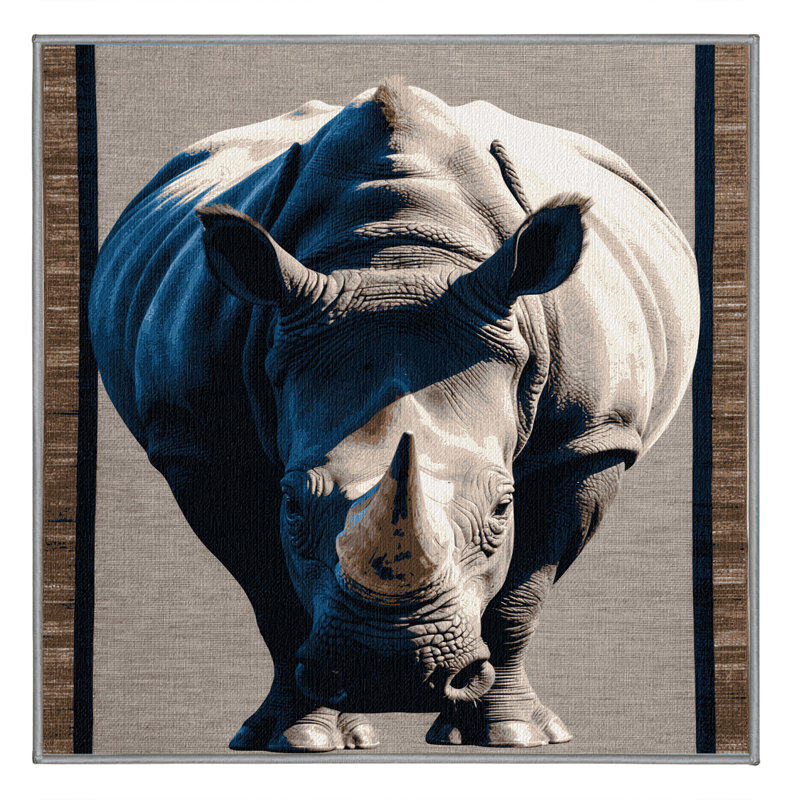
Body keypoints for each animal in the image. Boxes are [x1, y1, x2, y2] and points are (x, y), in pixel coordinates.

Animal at [90, 82, 699, 751]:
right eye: (291, 505)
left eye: (503, 508)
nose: (391, 676)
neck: (398, 258)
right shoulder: (201, 445)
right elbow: (273, 596)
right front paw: (296, 739)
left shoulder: (589, 439)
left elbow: (523, 594)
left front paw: (512, 735)